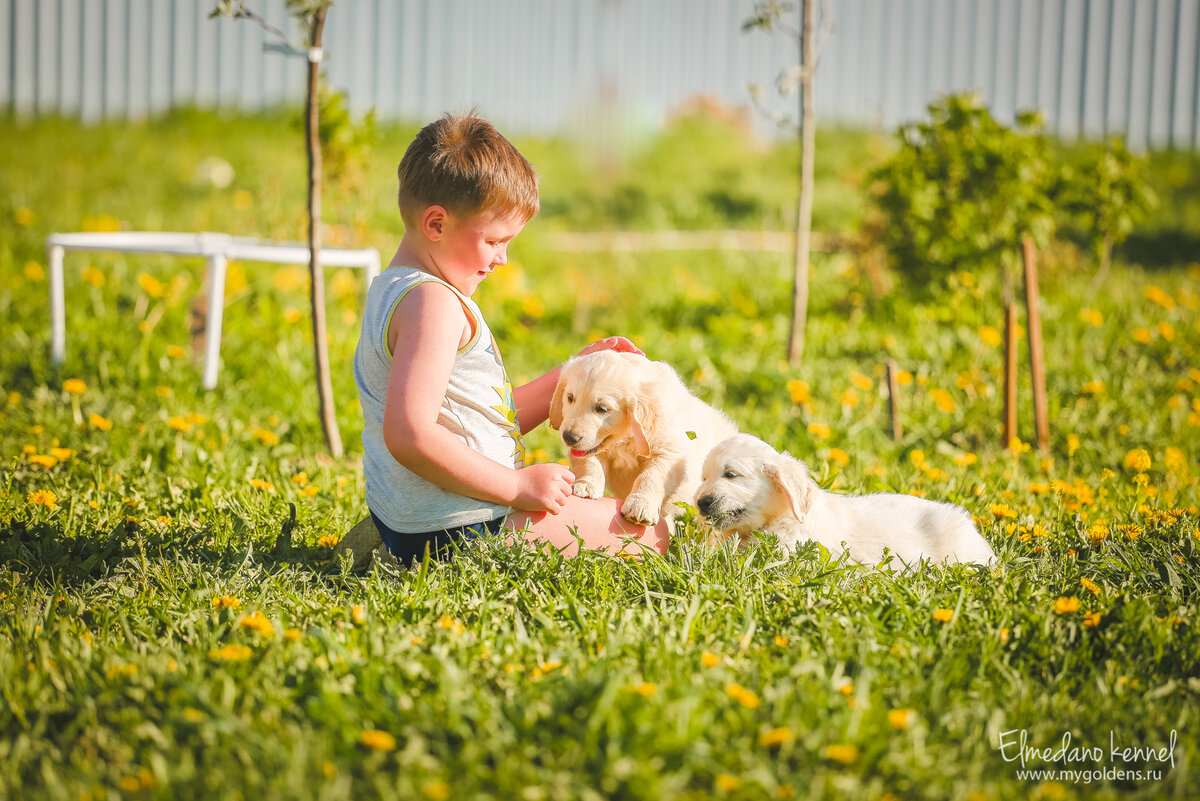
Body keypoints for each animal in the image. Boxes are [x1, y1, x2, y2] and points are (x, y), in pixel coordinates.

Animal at [549, 347, 734, 525]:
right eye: (570, 398)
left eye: (601, 408)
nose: (569, 437)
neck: (625, 439)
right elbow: (589, 462)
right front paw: (585, 485)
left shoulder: (669, 453)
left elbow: (651, 476)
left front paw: (641, 505)